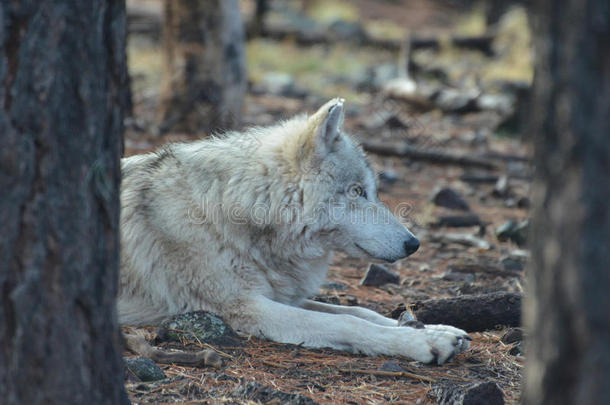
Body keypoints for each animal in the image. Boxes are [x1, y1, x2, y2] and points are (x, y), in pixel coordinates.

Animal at [120, 97, 470, 362]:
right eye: (358, 191)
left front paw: (437, 329)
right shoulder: (248, 309)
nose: (414, 244)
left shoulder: (282, 295)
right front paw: (424, 343)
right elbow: (347, 322)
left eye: (372, 191)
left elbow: (360, 312)